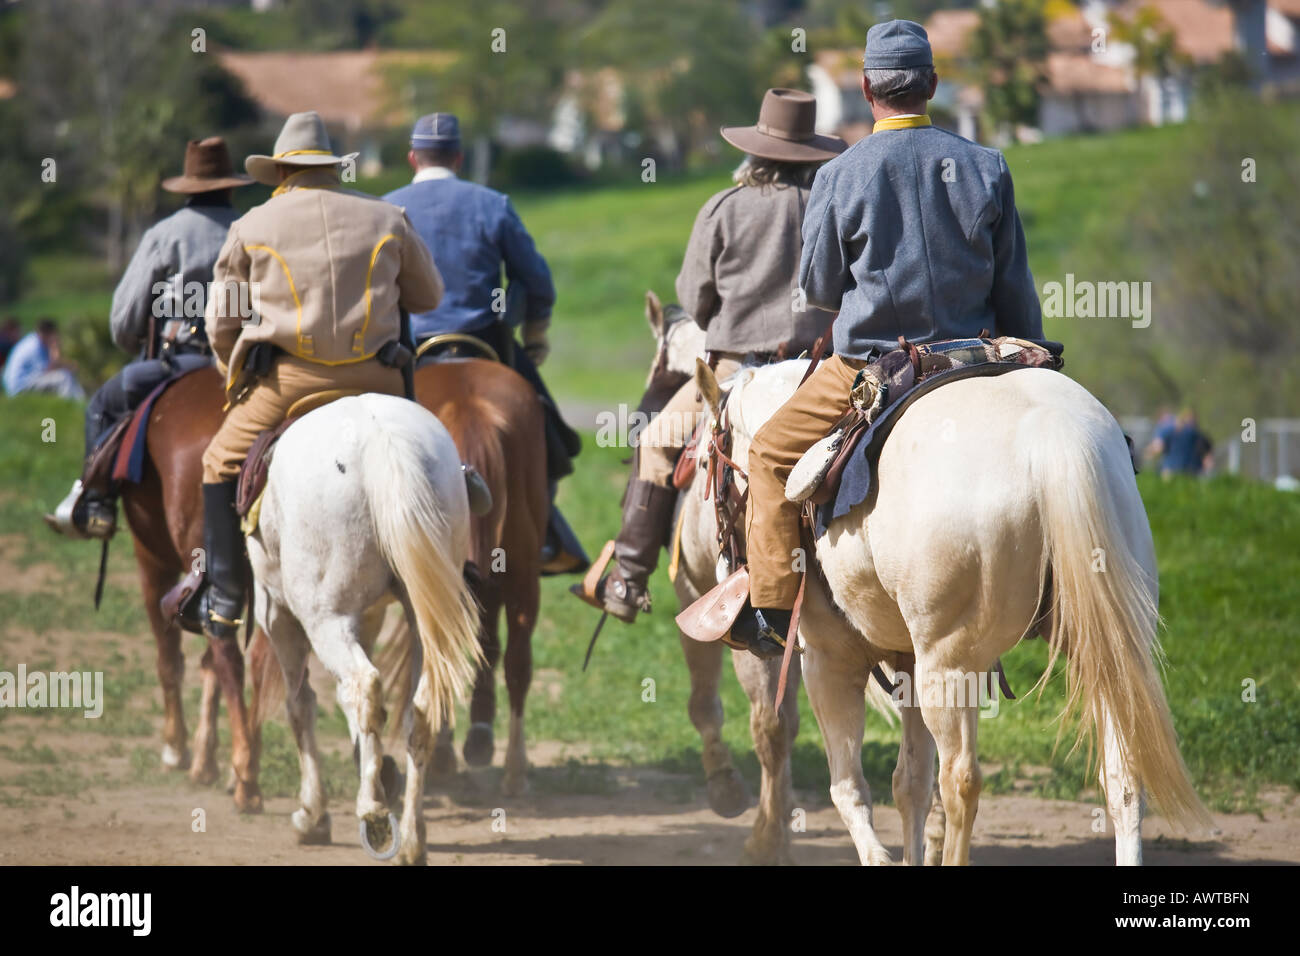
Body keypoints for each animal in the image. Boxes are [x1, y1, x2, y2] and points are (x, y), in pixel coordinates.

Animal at [246, 392, 482, 864]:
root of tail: (379, 437)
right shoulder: (368, 617)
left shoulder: (277, 614)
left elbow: (301, 704)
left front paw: (312, 816)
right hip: (419, 620)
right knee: (418, 710)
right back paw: (411, 838)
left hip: (323, 618)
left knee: (363, 685)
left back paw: (373, 814)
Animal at [705, 357, 1211, 865]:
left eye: (712, 465)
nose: (723, 567)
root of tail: (1052, 432)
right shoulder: (908, 662)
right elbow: (909, 784)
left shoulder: (831, 662)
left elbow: (850, 789)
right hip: (1106, 653)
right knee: (1124, 778)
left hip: (947, 666)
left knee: (960, 780)